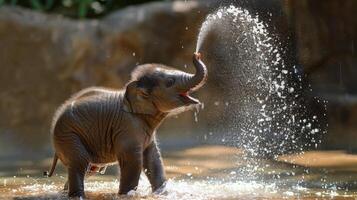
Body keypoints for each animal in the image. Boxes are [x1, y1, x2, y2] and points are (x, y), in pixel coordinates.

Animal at [46, 52, 207, 198]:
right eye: (170, 81)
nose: (197, 55)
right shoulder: (128, 126)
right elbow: (133, 162)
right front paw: (126, 195)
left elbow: (153, 159)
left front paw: (163, 194)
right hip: (68, 135)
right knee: (80, 162)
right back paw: (77, 196)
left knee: (88, 168)